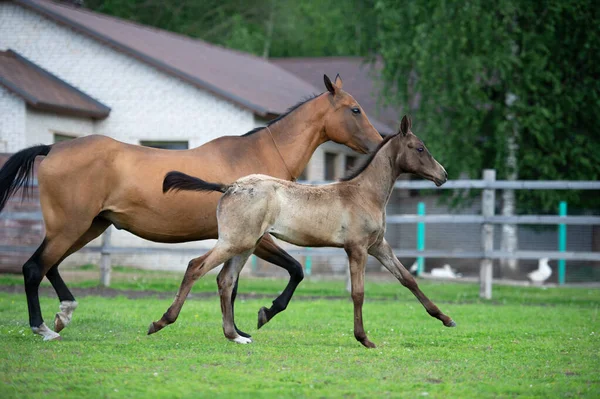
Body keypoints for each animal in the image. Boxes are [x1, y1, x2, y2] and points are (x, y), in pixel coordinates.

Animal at [0, 74, 382, 340]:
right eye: (355, 109)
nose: (380, 143)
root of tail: (53, 148)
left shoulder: (237, 242)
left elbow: (233, 283)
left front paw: (237, 331)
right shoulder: (256, 239)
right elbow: (294, 270)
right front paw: (264, 314)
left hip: (88, 226)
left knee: (49, 266)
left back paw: (64, 313)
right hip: (70, 227)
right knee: (34, 268)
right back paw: (43, 328)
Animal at [151, 115, 454, 346]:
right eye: (419, 148)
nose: (443, 174)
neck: (364, 194)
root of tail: (229, 186)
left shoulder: (378, 245)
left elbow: (408, 279)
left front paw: (446, 318)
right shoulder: (357, 249)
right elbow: (358, 292)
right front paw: (364, 338)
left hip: (246, 244)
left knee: (225, 280)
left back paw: (235, 336)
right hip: (235, 242)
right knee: (196, 266)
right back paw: (161, 321)